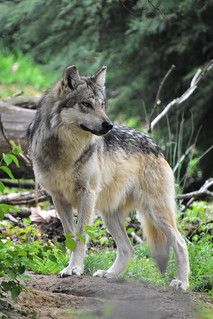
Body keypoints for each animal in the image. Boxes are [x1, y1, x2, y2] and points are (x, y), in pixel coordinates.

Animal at [27, 66, 190, 292]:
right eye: (86, 104)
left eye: (102, 105)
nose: (109, 125)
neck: (65, 152)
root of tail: (156, 145)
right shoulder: (58, 199)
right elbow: (70, 236)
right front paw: (69, 267)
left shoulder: (86, 194)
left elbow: (80, 236)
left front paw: (75, 268)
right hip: (109, 215)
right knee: (128, 249)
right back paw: (110, 274)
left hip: (155, 212)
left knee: (181, 243)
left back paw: (182, 283)